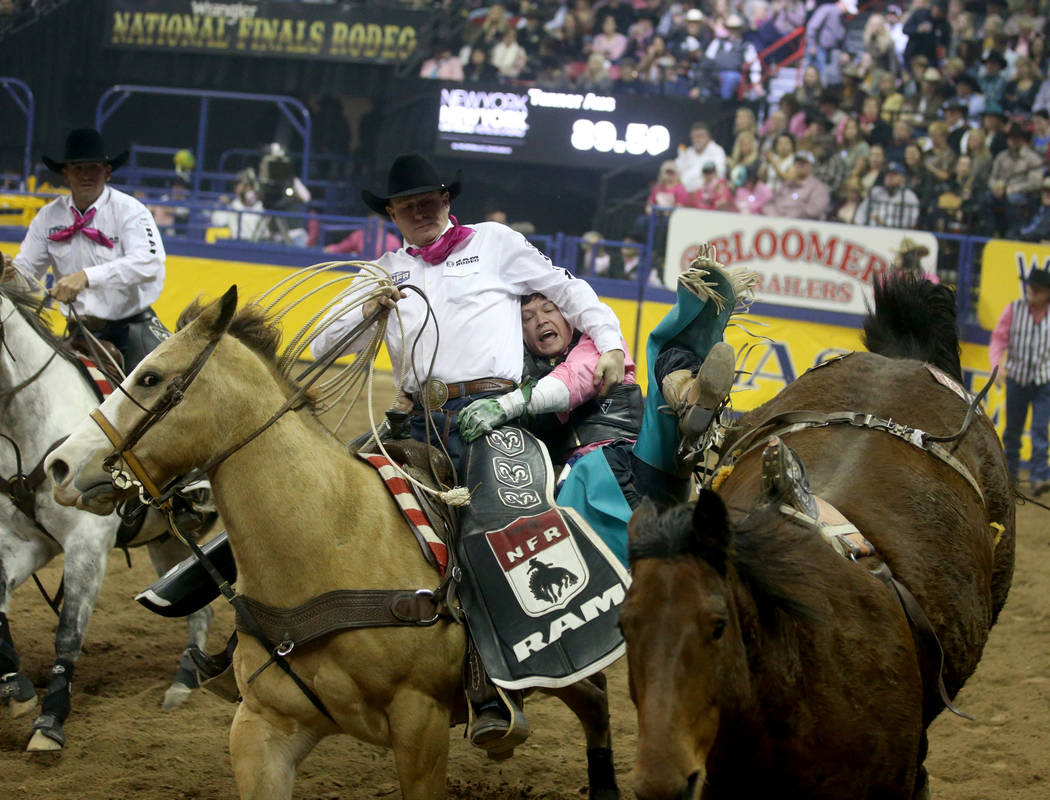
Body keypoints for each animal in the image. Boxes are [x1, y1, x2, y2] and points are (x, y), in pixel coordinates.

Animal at [0, 283, 214, 751]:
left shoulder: (88, 543)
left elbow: (69, 632)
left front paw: (50, 722)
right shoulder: (28, 540)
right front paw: (14, 686)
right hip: (168, 541)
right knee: (200, 609)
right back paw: (184, 682)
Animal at [47, 287, 621, 797]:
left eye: (150, 377)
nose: (60, 464)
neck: (330, 544)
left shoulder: (421, 724)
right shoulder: (261, 727)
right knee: (595, 699)